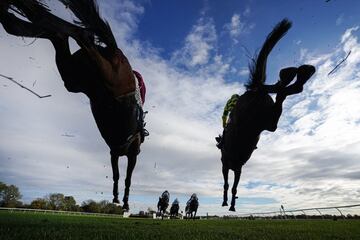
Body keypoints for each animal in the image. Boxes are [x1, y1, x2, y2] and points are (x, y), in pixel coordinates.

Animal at [0, 0, 146, 210]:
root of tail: (114, 51)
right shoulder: (129, 154)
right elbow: (125, 177)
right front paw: (123, 201)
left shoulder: (115, 153)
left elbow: (118, 174)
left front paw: (119, 198)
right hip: (108, 77)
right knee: (81, 34)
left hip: (73, 77)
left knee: (45, 30)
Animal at [219, 18, 316, 212]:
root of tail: (256, 90)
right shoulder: (236, 167)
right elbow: (232, 185)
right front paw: (230, 203)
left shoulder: (229, 166)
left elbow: (229, 185)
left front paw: (228, 203)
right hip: (266, 118)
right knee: (283, 90)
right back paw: (299, 73)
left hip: (257, 118)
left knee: (279, 91)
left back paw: (294, 74)